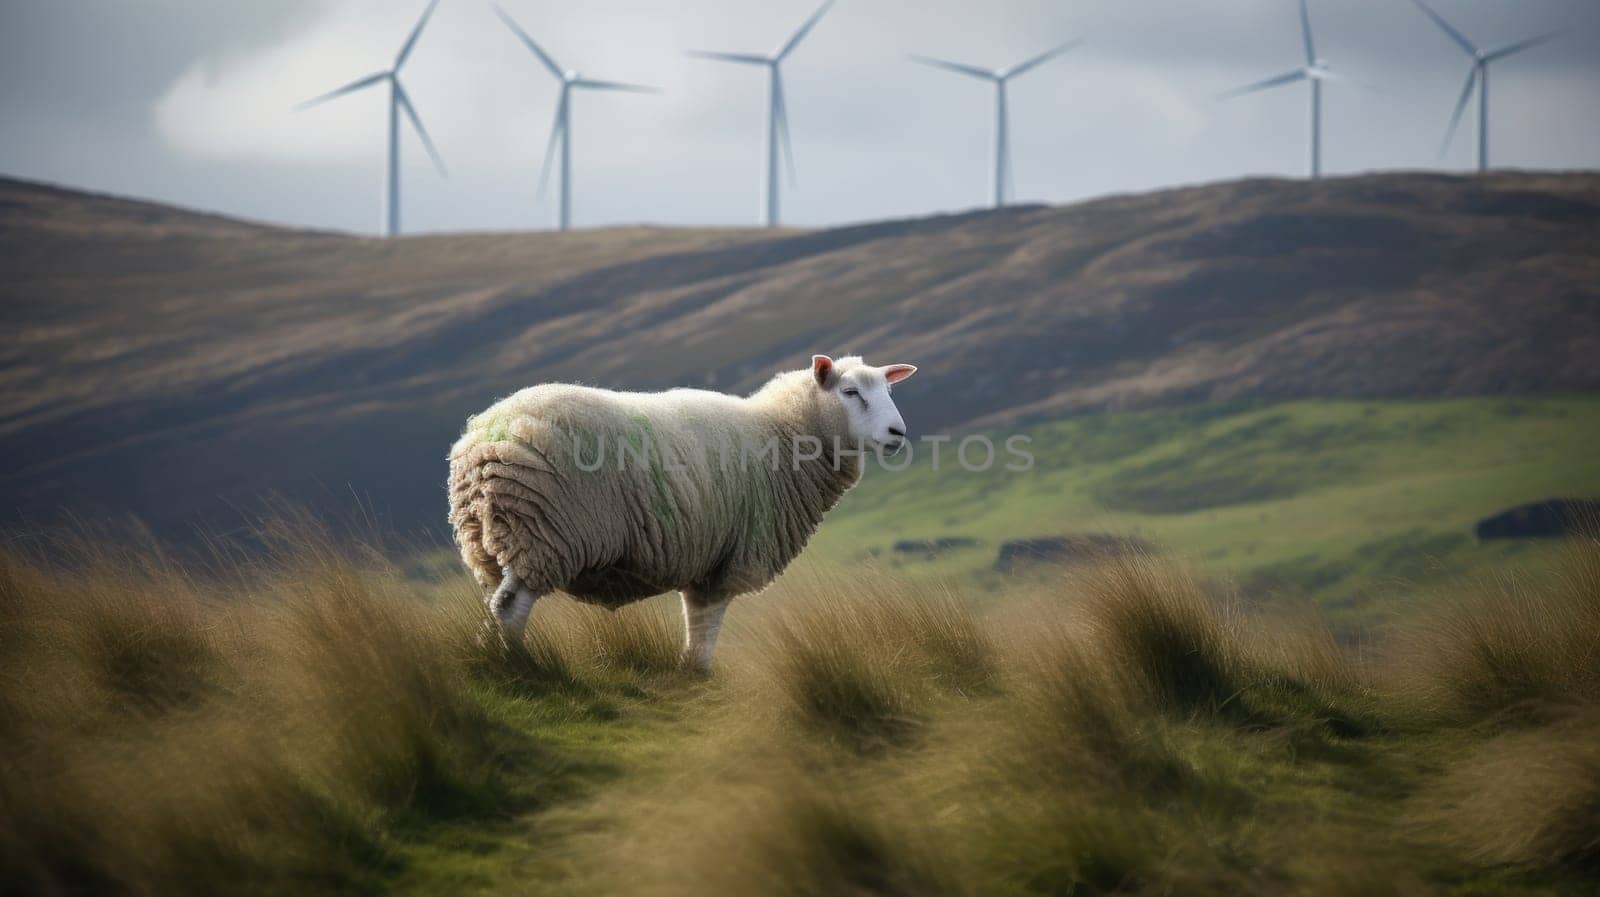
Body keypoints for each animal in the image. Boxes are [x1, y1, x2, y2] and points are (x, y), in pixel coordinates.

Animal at [451, 353, 928, 668]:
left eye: (888, 390)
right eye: (850, 392)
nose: (898, 432)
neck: (782, 433)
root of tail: (483, 442)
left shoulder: (707, 560)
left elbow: (695, 626)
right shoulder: (730, 559)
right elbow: (704, 630)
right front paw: (699, 676)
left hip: (493, 538)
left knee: (494, 601)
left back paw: (489, 654)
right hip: (544, 532)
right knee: (510, 605)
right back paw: (520, 663)